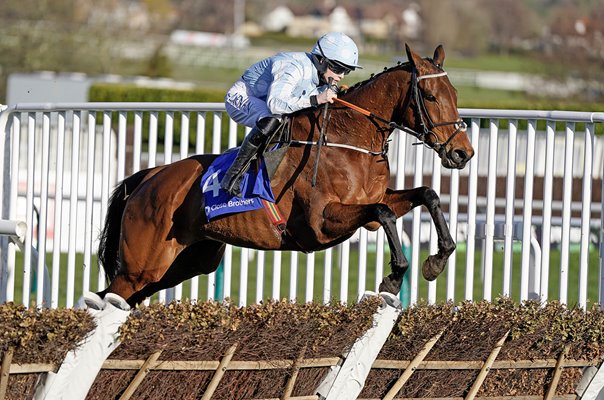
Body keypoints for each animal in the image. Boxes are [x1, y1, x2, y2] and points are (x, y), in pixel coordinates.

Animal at [95, 44, 472, 306]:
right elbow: (383, 213)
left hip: (186, 262)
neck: (350, 139)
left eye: (455, 94)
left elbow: (425, 194)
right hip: (142, 266)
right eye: (430, 96)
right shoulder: (321, 223)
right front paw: (394, 276)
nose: (462, 152)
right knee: (110, 295)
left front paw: (437, 259)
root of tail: (149, 177)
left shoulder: (371, 207)